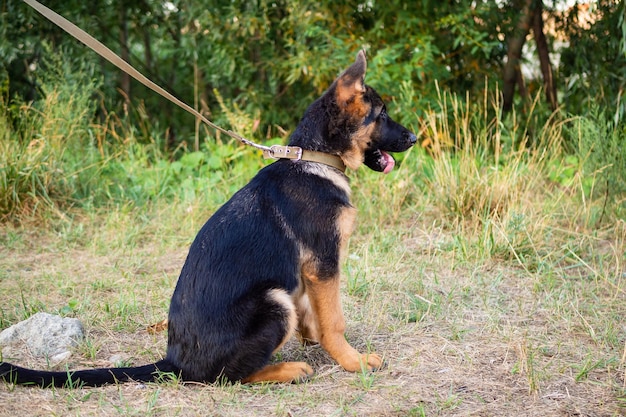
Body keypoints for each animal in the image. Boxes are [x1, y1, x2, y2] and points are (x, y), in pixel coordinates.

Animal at [0, 50, 414, 386]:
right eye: (382, 114)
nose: (412, 138)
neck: (314, 158)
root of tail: (174, 363)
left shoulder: (309, 274)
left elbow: (316, 314)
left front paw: (314, 338)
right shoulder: (324, 264)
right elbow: (334, 320)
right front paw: (352, 361)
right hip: (273, 301)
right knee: (227, 377)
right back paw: (287, 369)